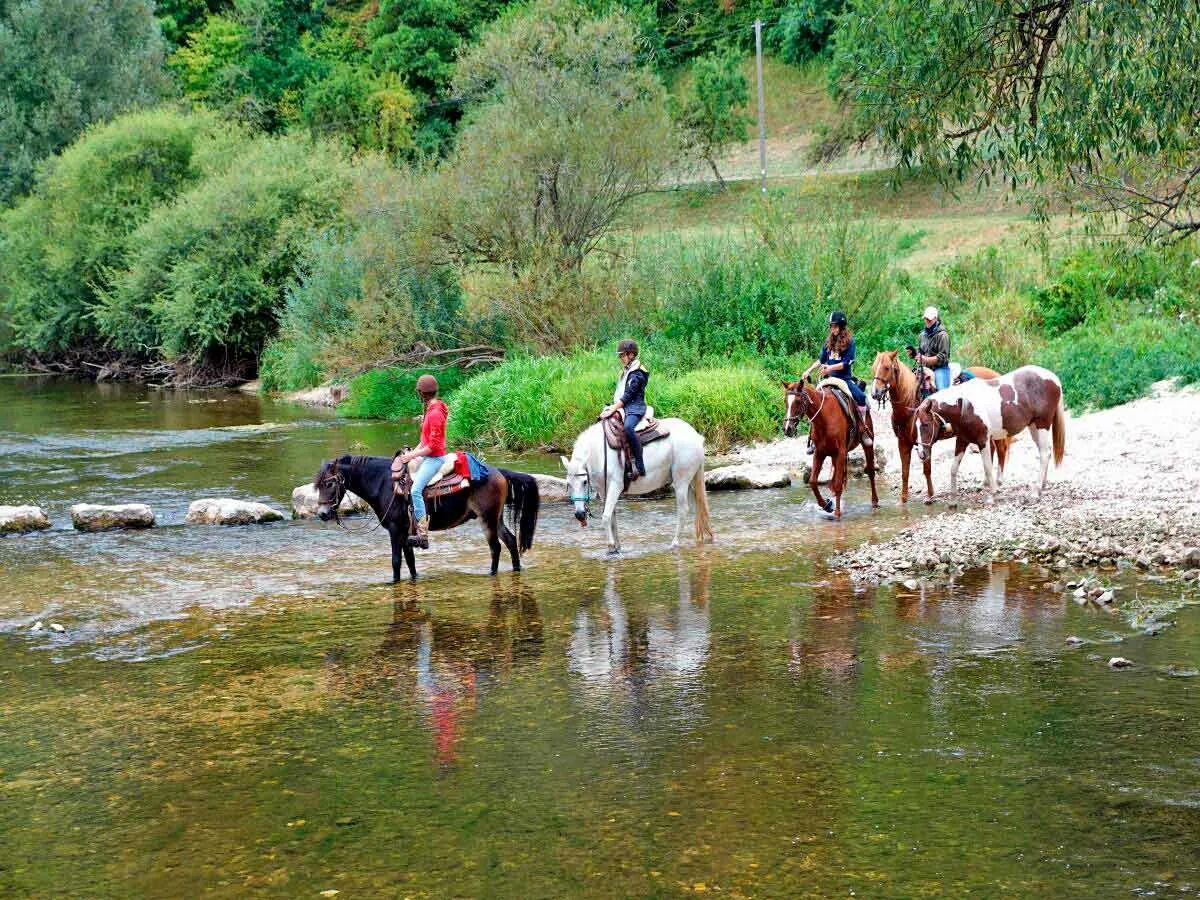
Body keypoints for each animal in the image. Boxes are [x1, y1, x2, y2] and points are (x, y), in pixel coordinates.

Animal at [309, 453, 540, 580]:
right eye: (318, 484)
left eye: (330, 483)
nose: (323, 514)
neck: (383, 483)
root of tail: (498, 471)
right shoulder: (405, 532)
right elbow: (410, 561)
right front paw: (414, 578)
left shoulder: (395, 530)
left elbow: (395, 561)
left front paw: (393, 582)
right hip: (496, 518)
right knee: (510, 540)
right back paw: (516, 569)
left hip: (487, 518)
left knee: (496, 547)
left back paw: (491, 574)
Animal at [559, 417, 710, 556]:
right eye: (568, 484)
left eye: (585, 481)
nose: (580, 515)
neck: (599, 453)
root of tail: (696, 436)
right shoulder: (603, 491)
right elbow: (612, 517)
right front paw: (617, 547)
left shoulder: (615, 486)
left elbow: (606, 516)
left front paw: (610, 547)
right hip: (690, 482)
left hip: (680, 482)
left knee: (683, 510)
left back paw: (674, 544)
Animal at [777, 374, 883, 518]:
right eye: (785, 401)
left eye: (798, 401)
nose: (787, 429)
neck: (824, 417)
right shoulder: (819, 452)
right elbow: (813, 482)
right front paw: (827, 505)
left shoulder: (840, 452)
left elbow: (837, 484)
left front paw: (837, 513)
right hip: (833, 455)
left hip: (867, 443)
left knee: (871, 472)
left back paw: (874, 502)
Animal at [868, 352, 1008, 508]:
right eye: (874, 367)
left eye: (887, 367)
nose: (874, 393)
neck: (909, 404)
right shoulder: (903, 442)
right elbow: (905, 472)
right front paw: (903, 500)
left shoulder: (926, 442)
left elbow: (927, 470)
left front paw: (930, 496)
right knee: (992, 449)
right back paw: (985, 482)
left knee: (1001, 449)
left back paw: (999, 482)